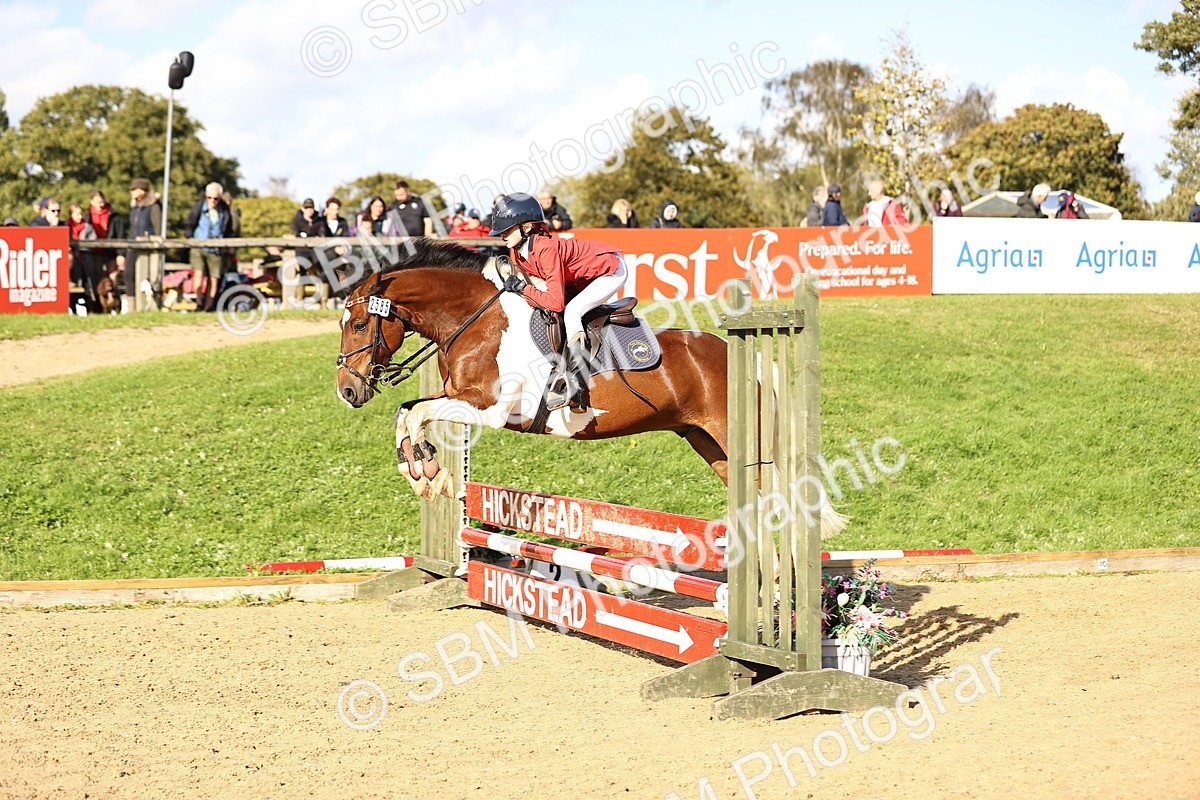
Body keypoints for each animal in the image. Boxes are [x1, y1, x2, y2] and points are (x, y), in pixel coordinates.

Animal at [334, 239, 848, 539]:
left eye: (359, 324)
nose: (346, 392)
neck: (475, 321)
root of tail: (744, 353)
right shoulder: (460, 400)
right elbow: (406, 412)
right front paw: (423, 472)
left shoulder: (491, 410)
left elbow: (417, 413)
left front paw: (431, 474)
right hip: (709, 443)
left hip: (742, 440)